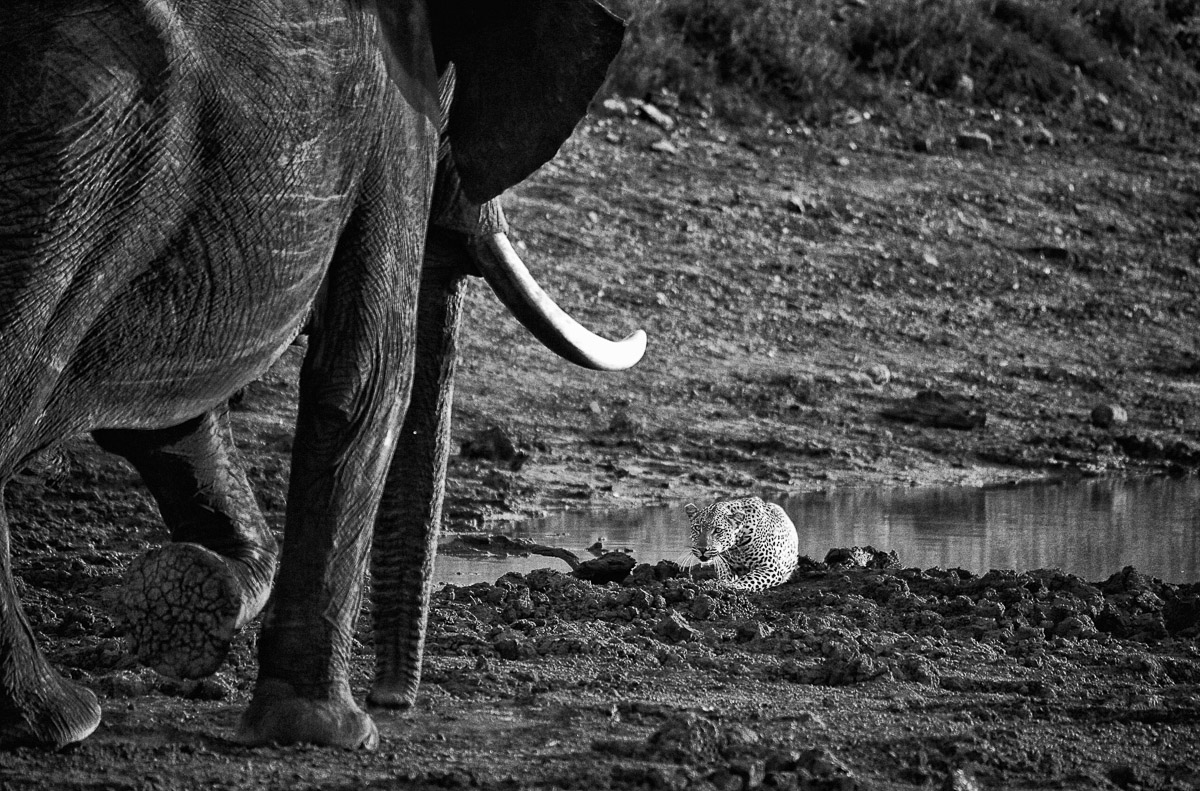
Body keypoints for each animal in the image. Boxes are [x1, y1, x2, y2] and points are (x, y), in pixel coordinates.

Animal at [0, 0, 645, 750]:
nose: (394, 700)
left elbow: (172, 417)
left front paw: (199, 592)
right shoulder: (397, 111)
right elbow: (369, 373)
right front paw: (328, 732)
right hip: (80, 166)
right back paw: (64, 717)